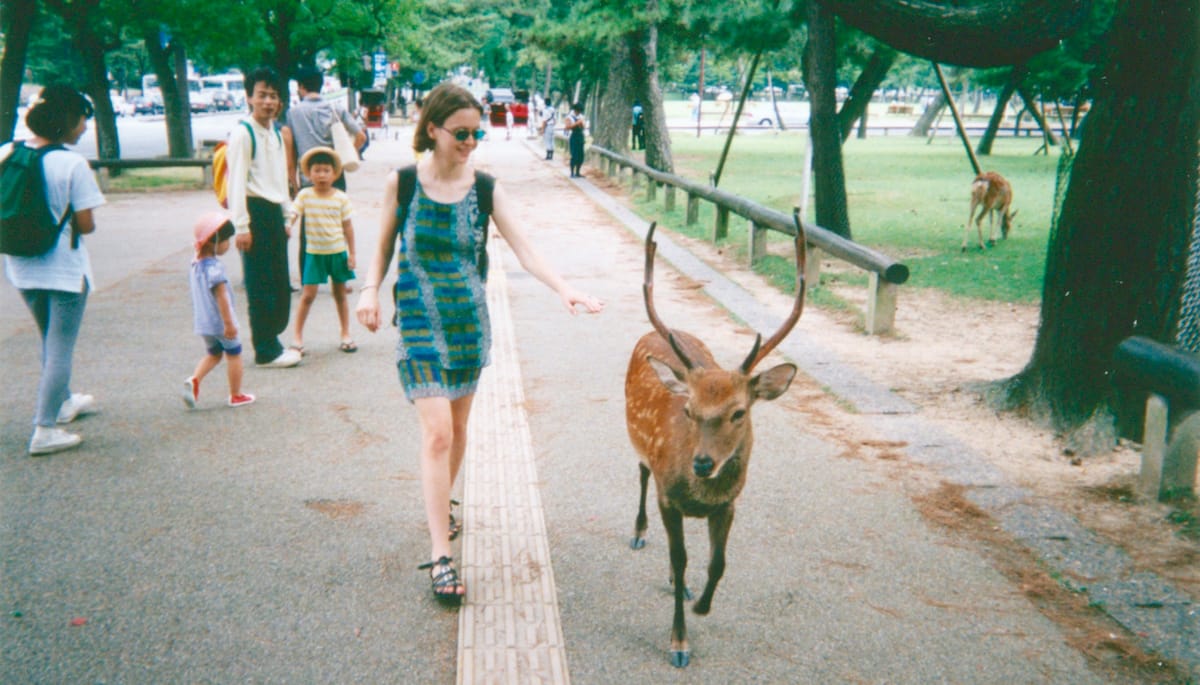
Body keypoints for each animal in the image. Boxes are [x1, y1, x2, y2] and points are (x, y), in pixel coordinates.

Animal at [628, 220, 806, 671]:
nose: (703, 463)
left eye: (739, 412)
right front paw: (679, 642)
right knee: (641, 474)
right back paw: (639, 532)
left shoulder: (728, 504)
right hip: (641, 450)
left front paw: (702, 606)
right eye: (689, 410)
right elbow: (681, 559)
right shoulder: (668, 497)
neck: (700, 497)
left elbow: (717, 563)